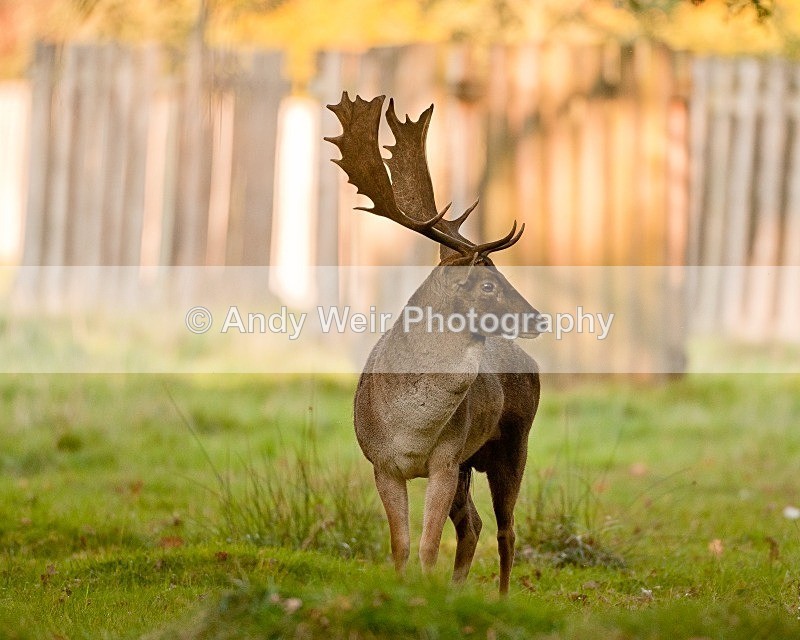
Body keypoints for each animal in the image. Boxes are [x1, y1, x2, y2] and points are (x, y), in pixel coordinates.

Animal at [325, 92, 541, 595]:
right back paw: (460, 587)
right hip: (470, 462)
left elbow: (427, 546)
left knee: (506, 528)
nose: (537, 317)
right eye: (487, 284)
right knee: (474, 524)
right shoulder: (382, 463)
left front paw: (425, 593)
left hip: (512, 443)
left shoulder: (444, 458)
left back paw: (502, 598)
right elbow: (401, 545)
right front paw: (405, 591)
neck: (411, 428)